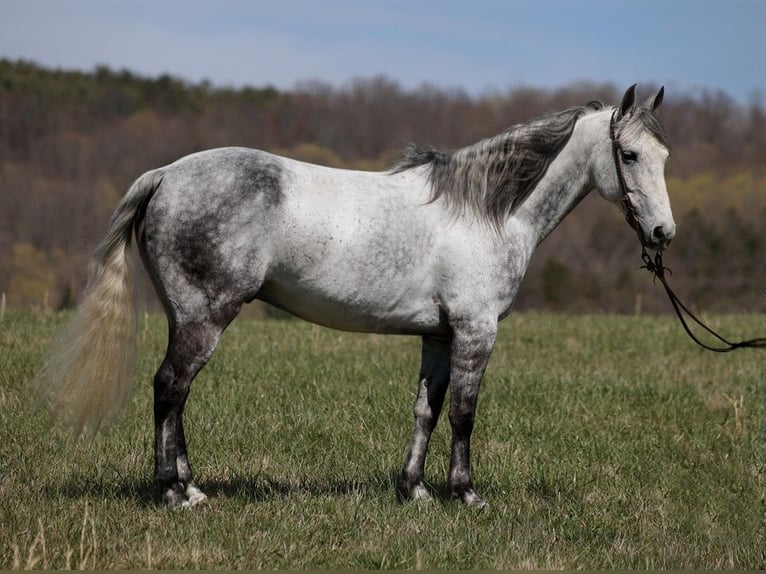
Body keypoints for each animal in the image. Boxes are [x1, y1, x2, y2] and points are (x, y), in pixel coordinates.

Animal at [42, 84, 676, 508]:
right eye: (629, 155)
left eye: (664, 155)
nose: (663, 233)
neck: (486, 212)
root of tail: (166, 175)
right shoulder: (476, 331)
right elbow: (465, 413)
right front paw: (466, 495)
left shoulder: (438, 336)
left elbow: (427, 410)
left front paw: (414, 491)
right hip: (204, 318)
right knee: (170, 388)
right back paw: (174, 494)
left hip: (187, 318)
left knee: (176, 395)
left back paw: (191, 487)